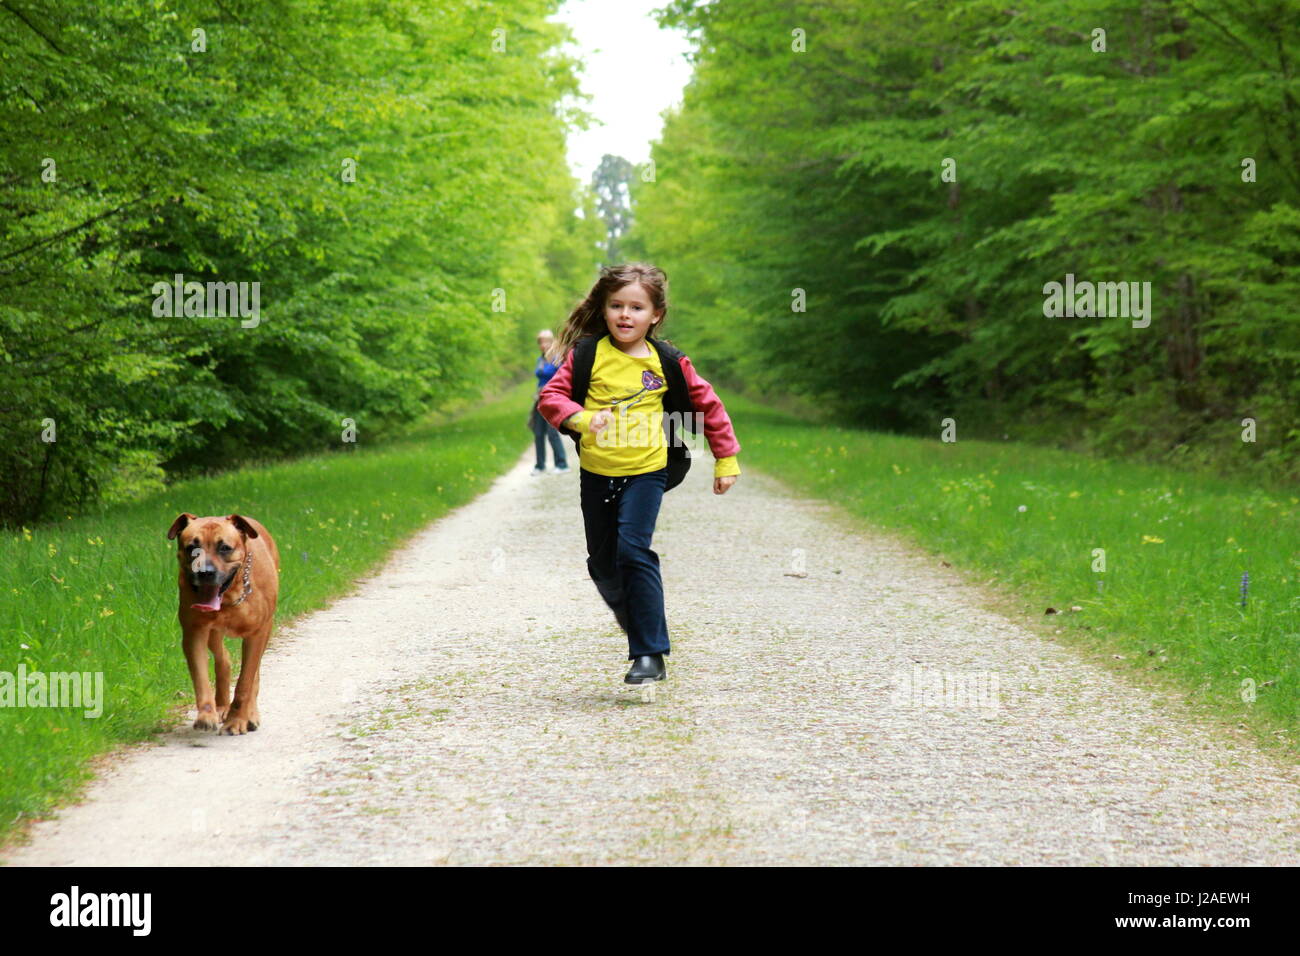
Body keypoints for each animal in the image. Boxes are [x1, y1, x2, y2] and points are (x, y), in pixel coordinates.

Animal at [166, 515, 280, 733]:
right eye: (192, 547)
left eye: (225, 548)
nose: (205, 572)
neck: (229, 597)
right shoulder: (194, 633)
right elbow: (201, 679)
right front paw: (206, 714)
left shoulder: (257, 634)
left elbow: (246, 682)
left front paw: (237, 720)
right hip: (213, 633)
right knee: (223, 659)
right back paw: (221, 706)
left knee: (254, 675)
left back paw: (250, 713)